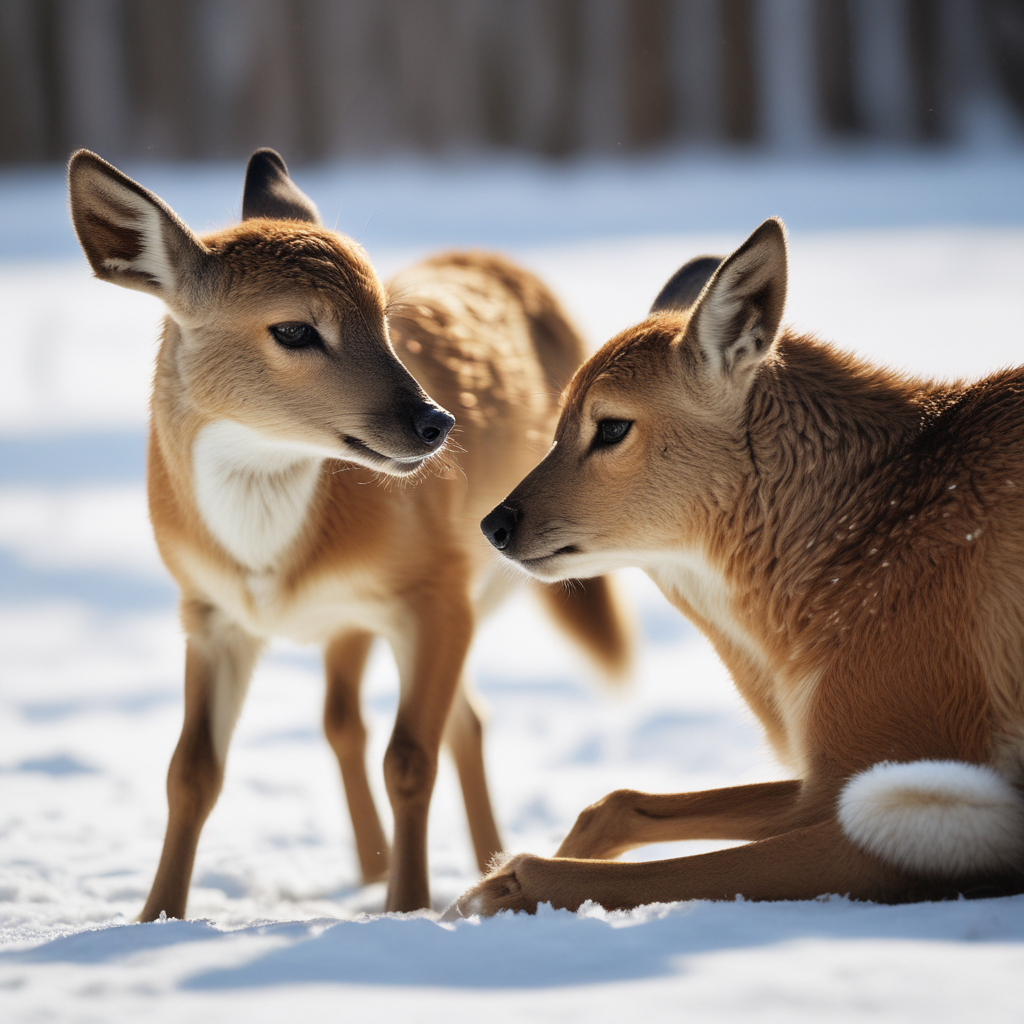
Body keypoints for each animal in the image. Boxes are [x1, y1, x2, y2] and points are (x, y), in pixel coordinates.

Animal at [67, 147, 629, 918]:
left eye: (384, 318)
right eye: (293, 329)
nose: (434, 422)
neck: (269, 561)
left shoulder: (432, 588)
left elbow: (411, 757)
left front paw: (406, 908)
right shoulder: (208, 611)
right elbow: (191, 771)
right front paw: (154, 918)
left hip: (470, 587)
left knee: (459, 722)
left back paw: (475, 865)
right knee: (354, 720)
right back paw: (382, 867)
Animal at [449, 217, 1024, 917]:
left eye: (611, 427)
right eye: (556, 424)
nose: (494, 525)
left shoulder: (892, 781)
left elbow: (648, 872)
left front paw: (494, 887)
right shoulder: (824, 776)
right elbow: (613, 803)